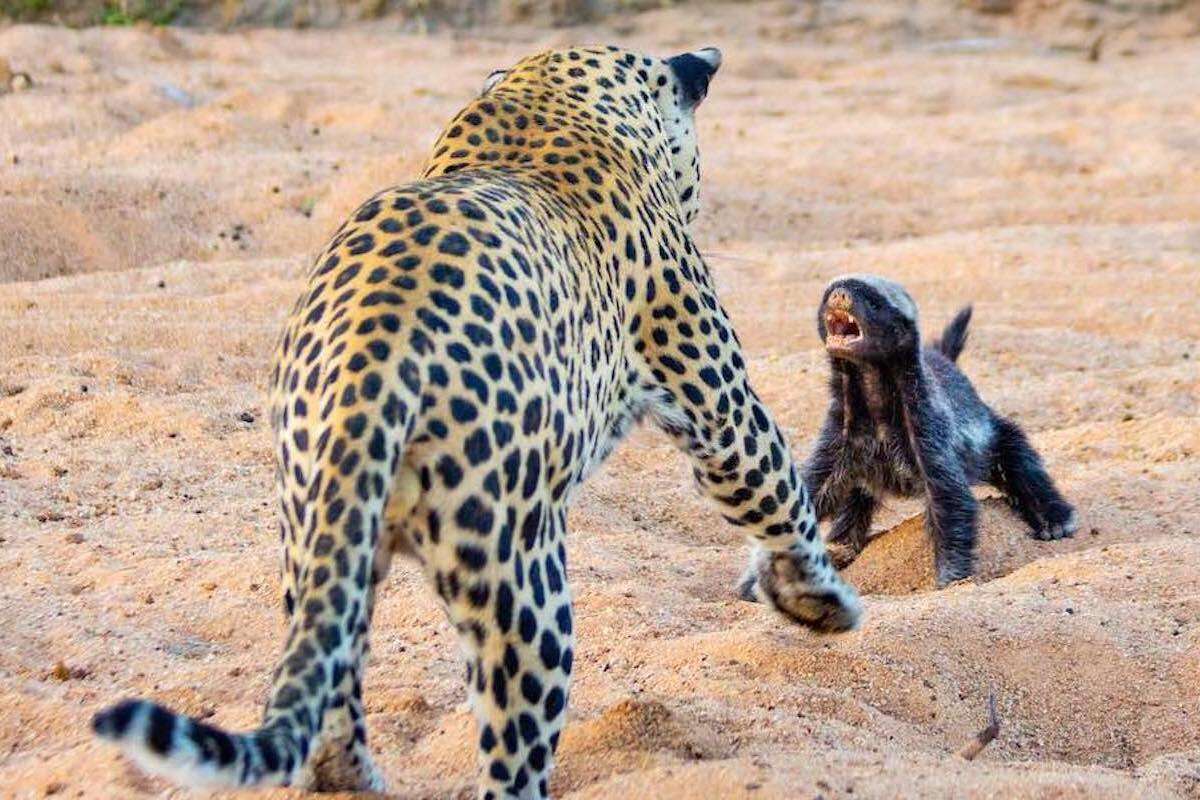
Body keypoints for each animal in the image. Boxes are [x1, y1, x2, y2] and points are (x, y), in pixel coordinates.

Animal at [92, 45, 862, 799]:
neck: (543, 104)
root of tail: (371, 366)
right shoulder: (721, 404)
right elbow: (783, 496)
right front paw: (821, 603)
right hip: (521, 582)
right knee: (512, 754)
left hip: (321, 541)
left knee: (325, 684)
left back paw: (352, 778)